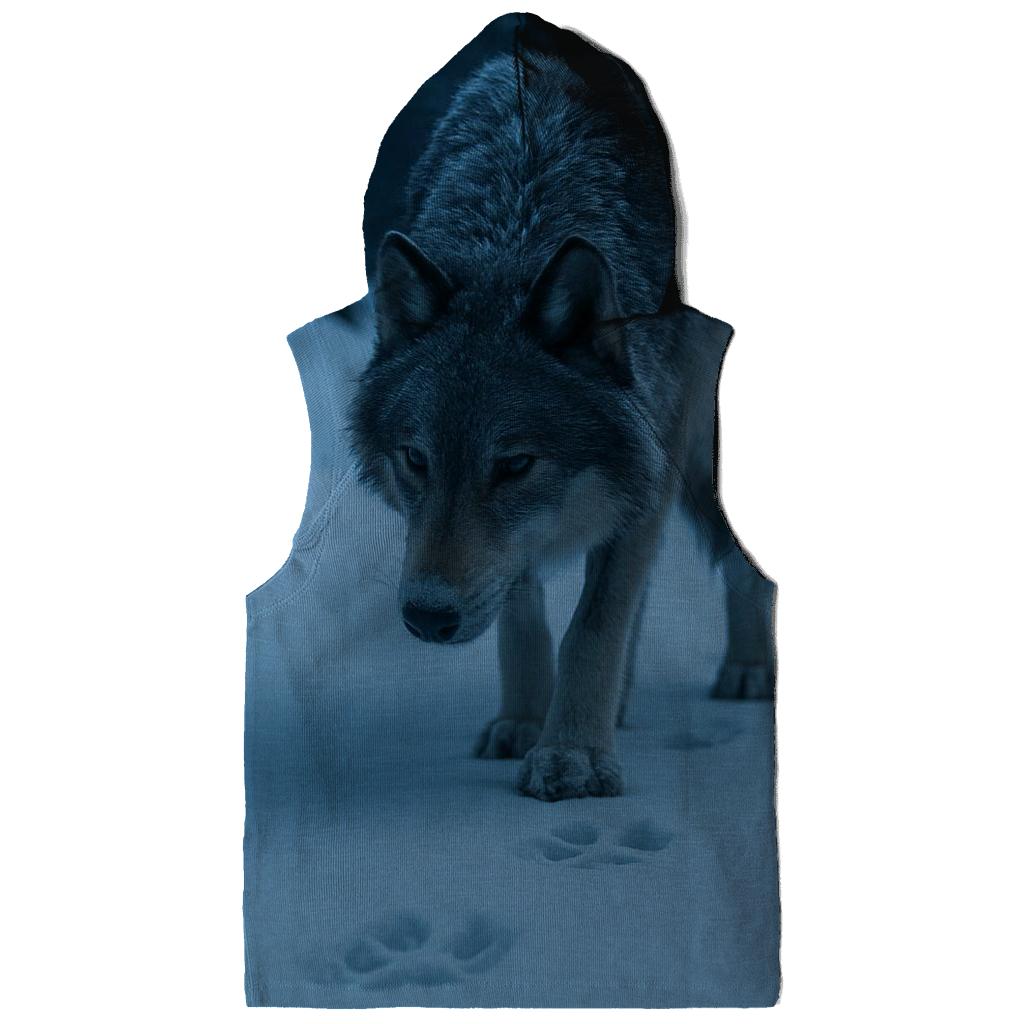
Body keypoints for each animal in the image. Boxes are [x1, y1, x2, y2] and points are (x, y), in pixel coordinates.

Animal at [350, 43, 772, 801]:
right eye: (416, 460)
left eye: (514, 464)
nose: (426, 617)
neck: (525, 206)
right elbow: (525, 610)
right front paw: (526, 719)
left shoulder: (651, 451)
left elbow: (594, 623)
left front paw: (572, 754)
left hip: (693, 442)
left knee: (732, 554)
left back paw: (750, 670)